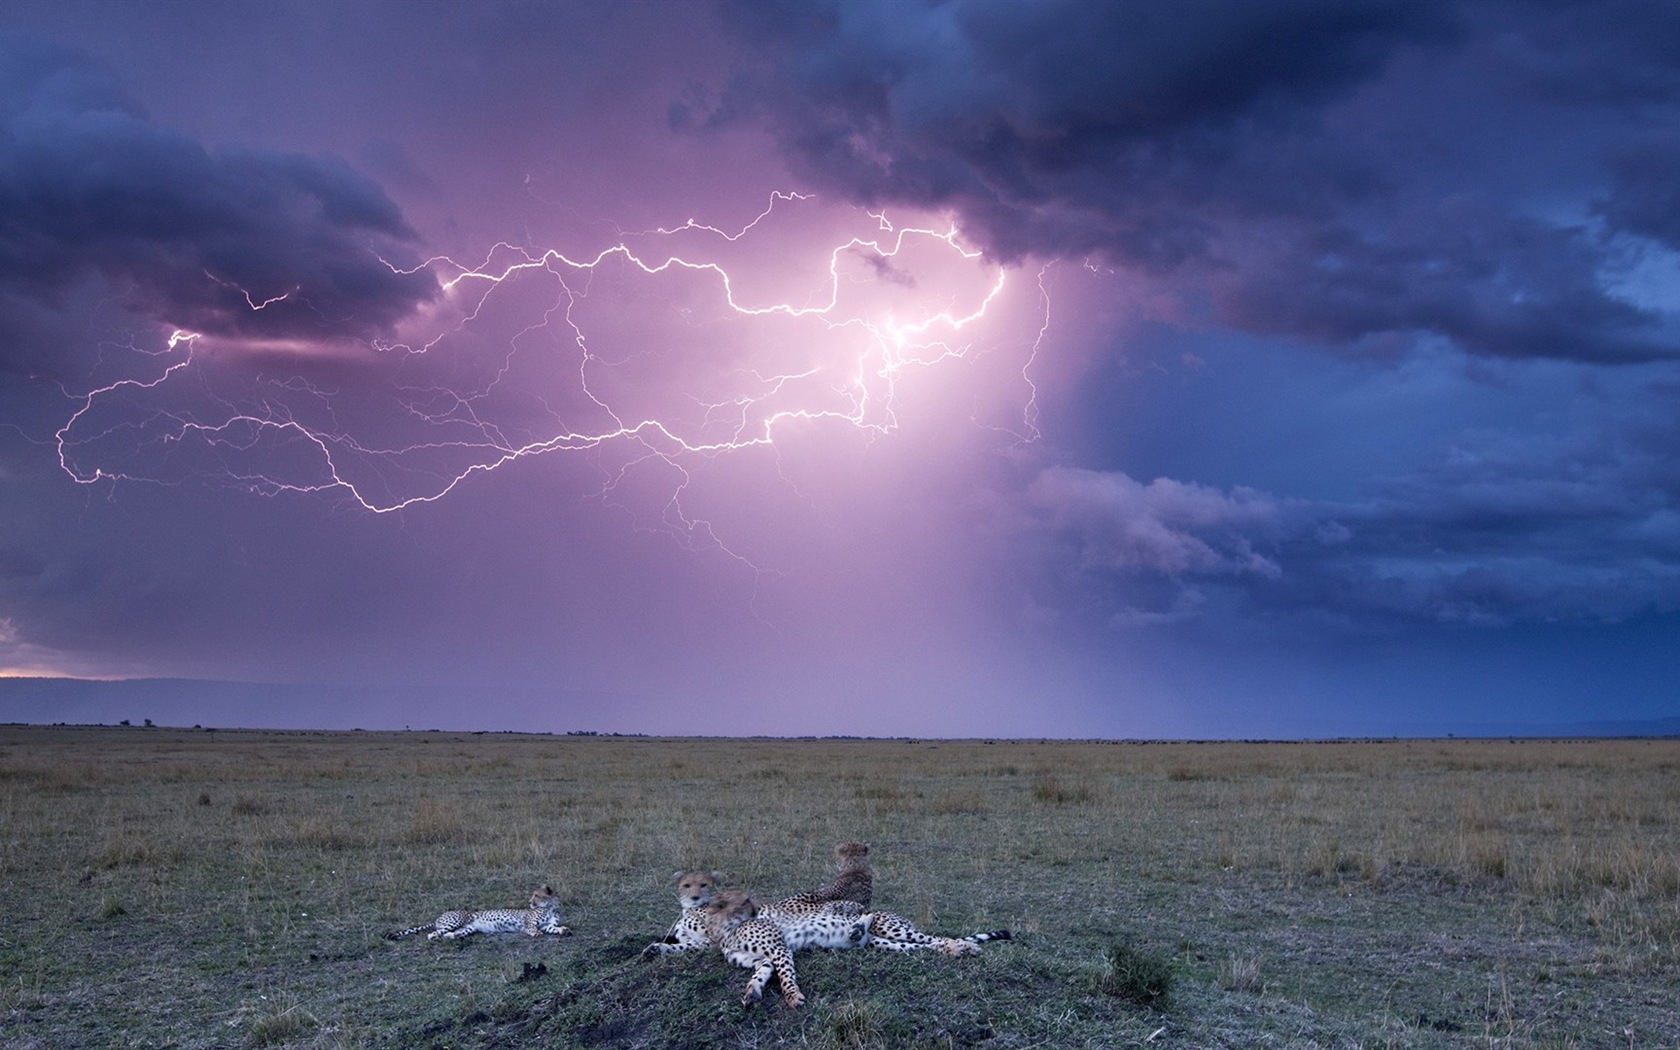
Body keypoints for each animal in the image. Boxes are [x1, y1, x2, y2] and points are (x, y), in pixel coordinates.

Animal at [383, 880, 571, 940]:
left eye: (536, 895)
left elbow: (553, 928)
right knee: (433, 933)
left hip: (468, 928)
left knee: (451, 934)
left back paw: (452, 937)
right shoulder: (528, 922)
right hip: (456, 920)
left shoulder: (547, 925)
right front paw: (535, 933)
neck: (550, 907)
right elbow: (531, 927)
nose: (529, 902)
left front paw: (564, 930)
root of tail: (439, 916)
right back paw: (434, 937)